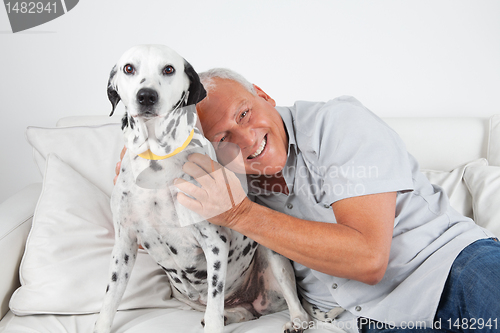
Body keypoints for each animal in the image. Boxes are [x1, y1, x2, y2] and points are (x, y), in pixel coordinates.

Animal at [91, 44, 306, 332]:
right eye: (129, 68)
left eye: (168, 69)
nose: (146, 96)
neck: (157, 162)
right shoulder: (124, 244)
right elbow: (109, 301)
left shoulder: (214, 243)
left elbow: (215, 304)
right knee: (245, 312)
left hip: (272, 255)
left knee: (293, 303)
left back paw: (296, 320)